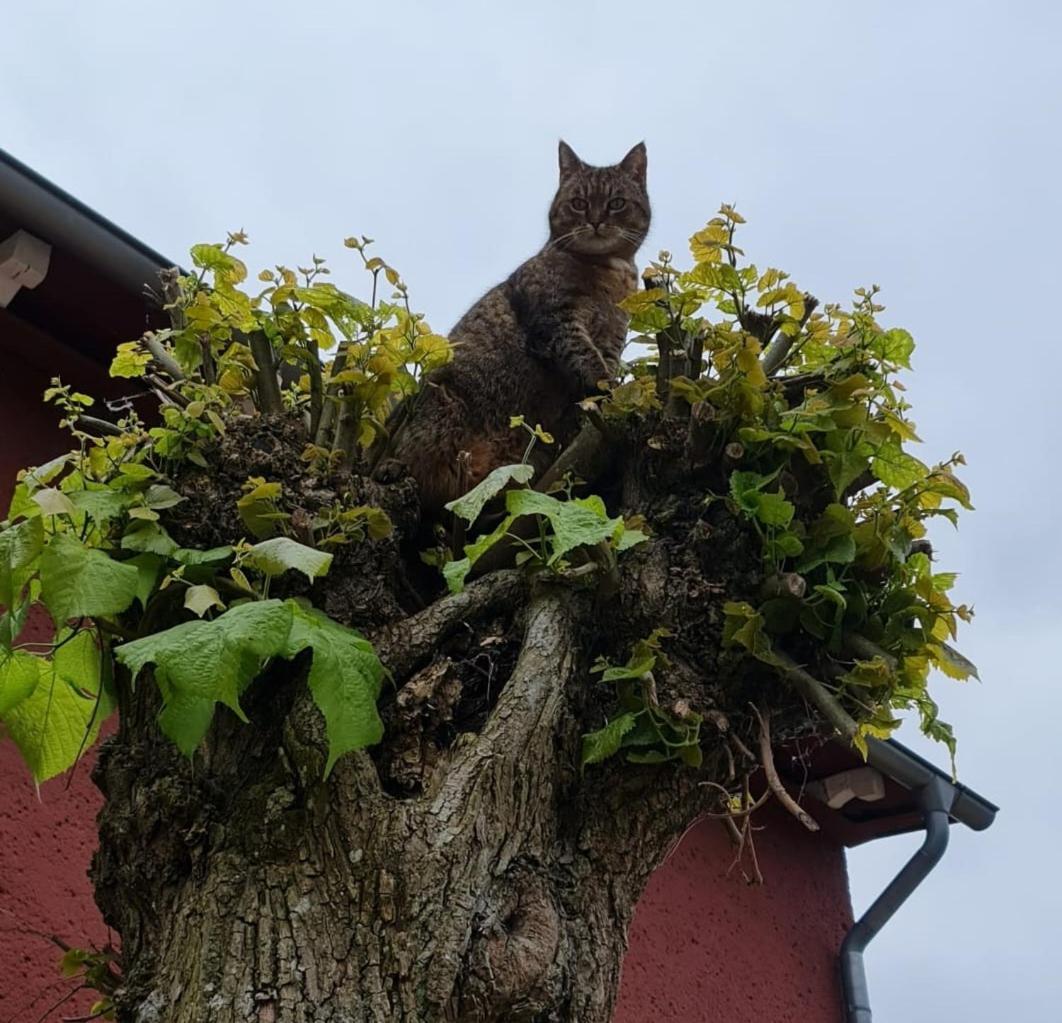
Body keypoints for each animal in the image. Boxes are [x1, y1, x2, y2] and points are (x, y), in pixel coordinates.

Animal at [395, 140, 649, 516]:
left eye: (616, 202)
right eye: (579, 202)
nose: (596, 221)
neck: (609, 273)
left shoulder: (612, 338)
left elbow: (602, 370)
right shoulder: (557, 320)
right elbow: (590, 363)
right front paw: (611, 390)